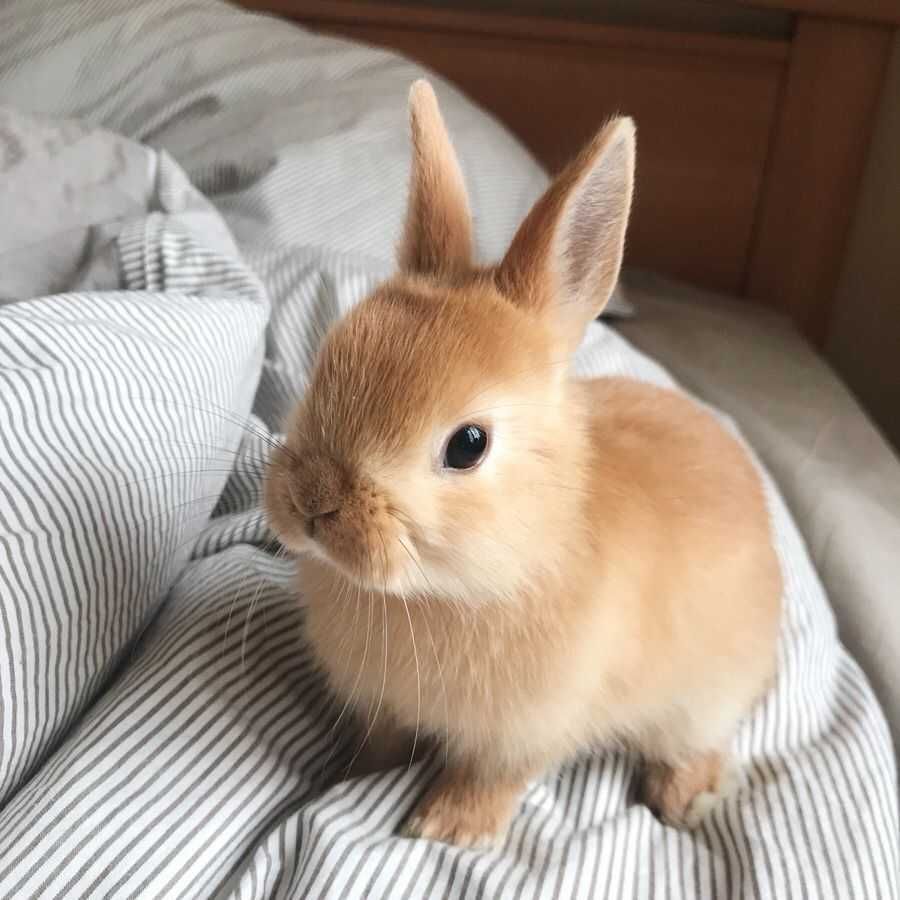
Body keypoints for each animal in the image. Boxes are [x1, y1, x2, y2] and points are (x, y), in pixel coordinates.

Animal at [266, 81, 780, 848]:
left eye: (468, 445)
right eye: (325, 362)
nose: (312, 503)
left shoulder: (530, 730)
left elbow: (493, 779)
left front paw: (446, 828)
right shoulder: (382, 705)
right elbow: (380, 743)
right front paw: (347, 773)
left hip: (704, 695)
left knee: (696, 741)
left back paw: (685, 798)